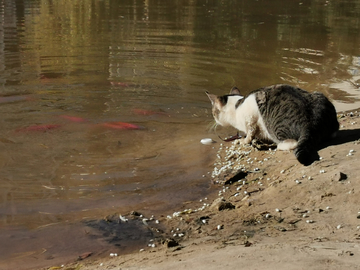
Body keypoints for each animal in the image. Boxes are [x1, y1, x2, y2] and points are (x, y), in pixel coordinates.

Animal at [207, 83, 338, 166]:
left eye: (213, 113)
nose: (214, 119)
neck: (236, 106)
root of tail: (312, 122)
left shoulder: (250, 118)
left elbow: (250, 133)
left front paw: (242, 141)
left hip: (275, 126)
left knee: (292, 143)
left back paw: (278, 145)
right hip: (320, 98)